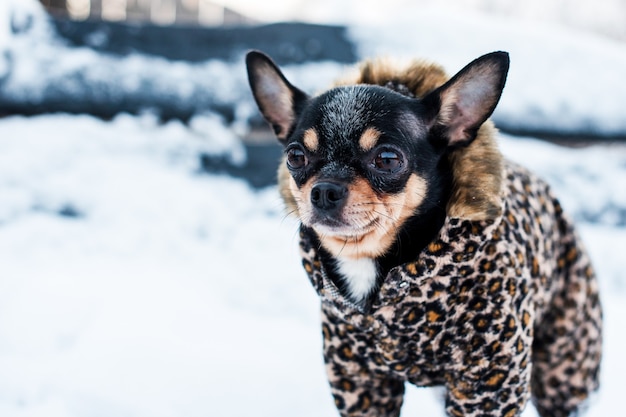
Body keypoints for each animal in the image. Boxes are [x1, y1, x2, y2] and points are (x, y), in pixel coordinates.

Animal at [244, 49, 600, 416]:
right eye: (295, 156)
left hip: (566, 360)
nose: (325, 190)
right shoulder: (359, 379)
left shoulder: (489, 381)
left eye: (387, 159)